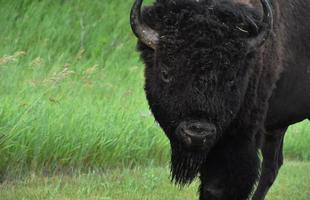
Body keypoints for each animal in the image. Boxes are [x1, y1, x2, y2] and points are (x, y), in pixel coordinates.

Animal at [130, 0, 308, 199]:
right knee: (272, 165)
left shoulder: (240, 138)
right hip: (277, 128)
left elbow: (219, 185)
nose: (197, 133)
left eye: (231, 77)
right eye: (165, 73)